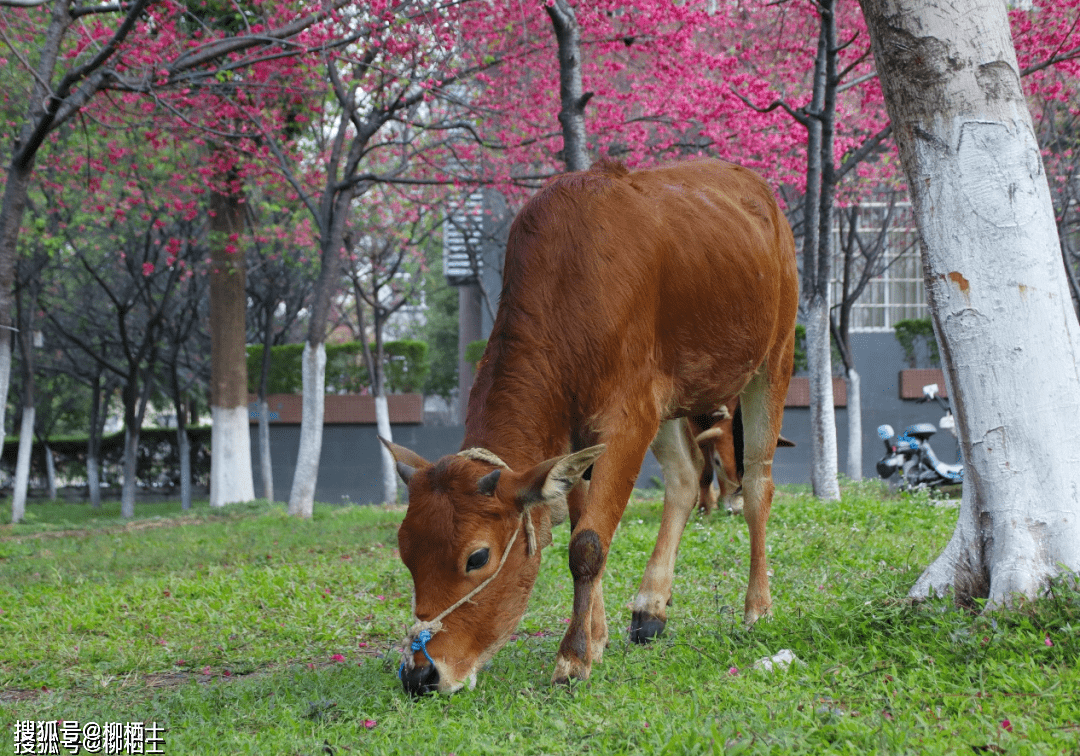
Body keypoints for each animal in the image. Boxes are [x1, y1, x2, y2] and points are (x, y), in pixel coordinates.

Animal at [384, 156, 799, 695]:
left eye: (477, 557)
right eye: (405, 552)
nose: (420, 673)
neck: (569, 289)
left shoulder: (627, 421)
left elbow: (587, 545)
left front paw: (574, 655)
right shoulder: (579, 440)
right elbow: (586, 523)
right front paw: (597, 636)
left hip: (774, 359)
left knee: (756, 486)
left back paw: (757, 607)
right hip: (669, 402)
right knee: (685, 480)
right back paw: (650, 607)